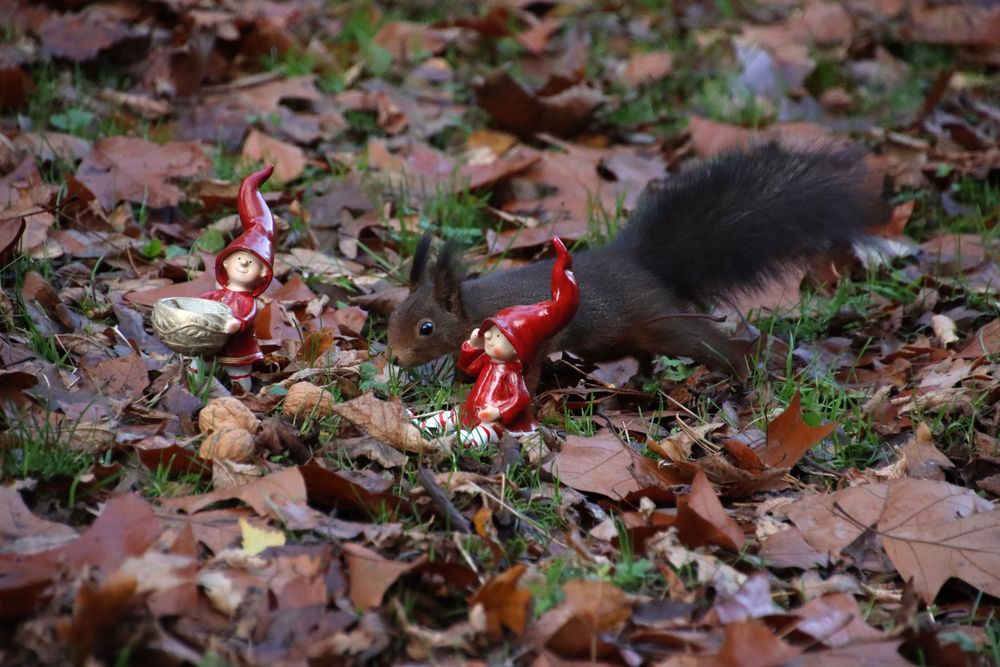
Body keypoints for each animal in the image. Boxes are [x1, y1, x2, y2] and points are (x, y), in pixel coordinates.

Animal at [386, 142, 888, 378]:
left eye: (426, 328)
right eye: (392, 317)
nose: (393, 357)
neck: (475, 308)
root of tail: (639, 264)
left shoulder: (535, 336)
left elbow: (531, 366)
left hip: (660, 322)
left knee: (707, 342)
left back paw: (741, 369)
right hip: (618, 340)